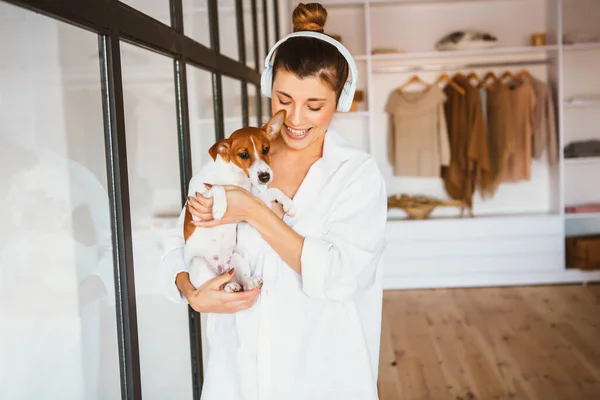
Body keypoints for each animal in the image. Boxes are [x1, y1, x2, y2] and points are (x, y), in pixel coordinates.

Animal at [183, 109, 296, 294]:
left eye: (266, 149)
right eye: (244, 154)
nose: (265, 177)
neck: (235, 175)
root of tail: (221, 269)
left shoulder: (247, 198)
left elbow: (273, 191)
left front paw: (289, 204)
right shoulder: (197, 200)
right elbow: (218, 187)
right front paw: (220, 207)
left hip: (237, 259)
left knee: (241, 280)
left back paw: (249, 282)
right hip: (200, 265)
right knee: (217, 286)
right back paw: (229, 286)